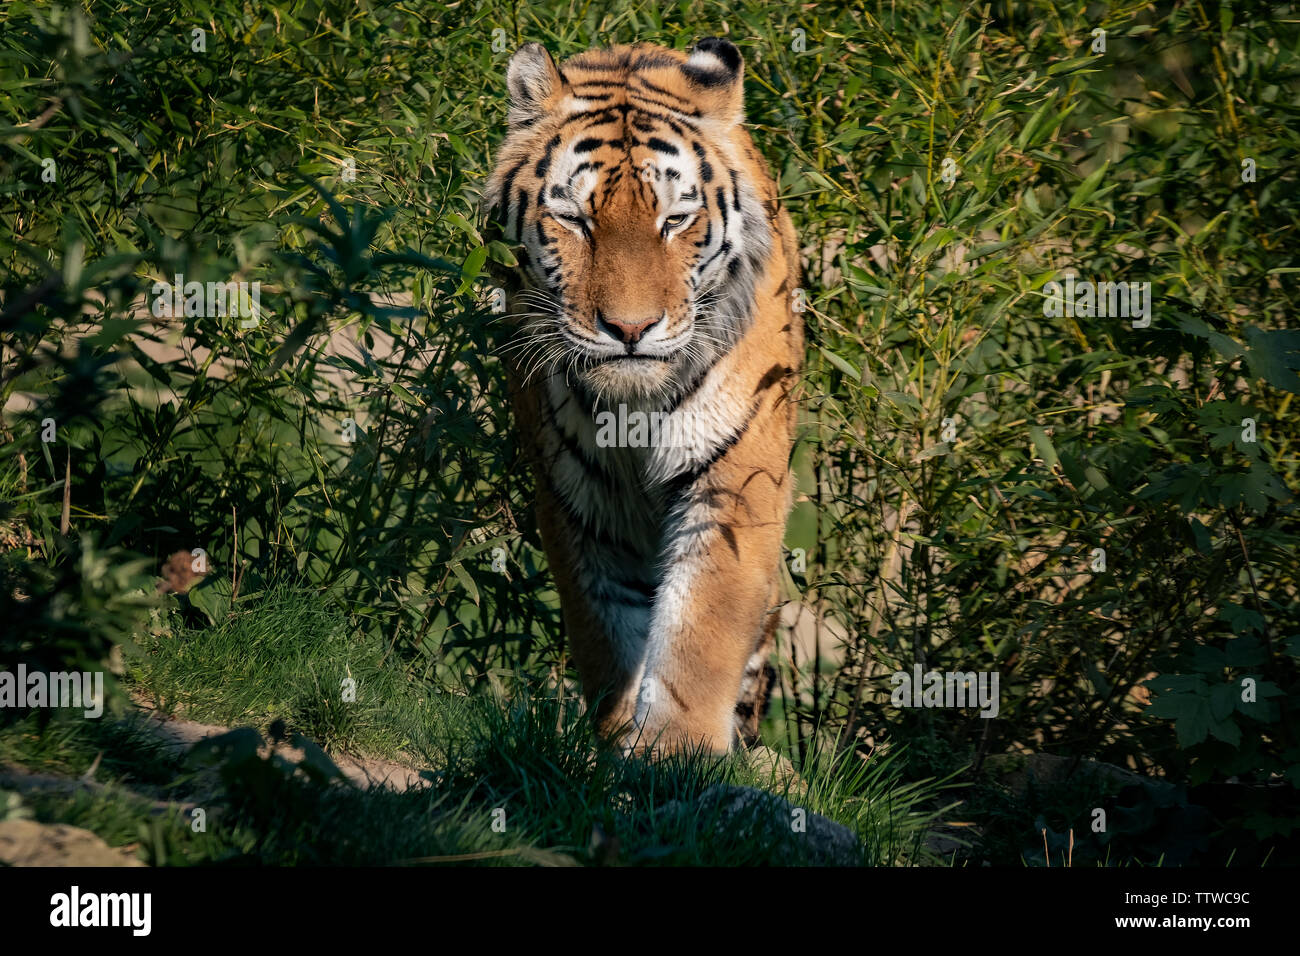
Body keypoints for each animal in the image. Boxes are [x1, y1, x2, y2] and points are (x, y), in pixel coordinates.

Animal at [483, 37, 795, 754]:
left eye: (675, 220)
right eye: (573, 219)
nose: (629, 329)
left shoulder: (735, 479)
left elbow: (704, 625)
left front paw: (677, 752)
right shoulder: (577, 498)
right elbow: (605, 627)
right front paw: (620, 740)